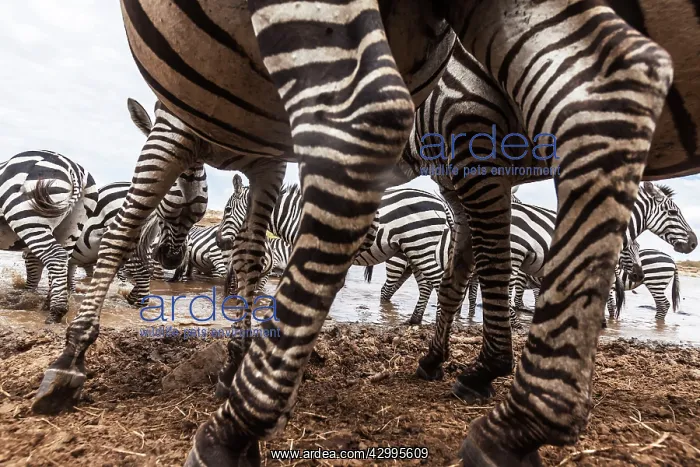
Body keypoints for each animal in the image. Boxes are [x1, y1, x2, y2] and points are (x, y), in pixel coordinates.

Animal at [0, 151, 98, 323]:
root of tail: (74, 169)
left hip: (27, 215)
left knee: (55, 256)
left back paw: (56, 311)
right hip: (72, 225)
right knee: (63, 259)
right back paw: (48, 304)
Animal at [217, 180, 455, 325]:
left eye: (227, 210)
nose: (219, 242)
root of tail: (439, 202)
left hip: (420, 244)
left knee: (437, 282)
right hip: (414, 249)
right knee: (425, 284)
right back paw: (414, 320)